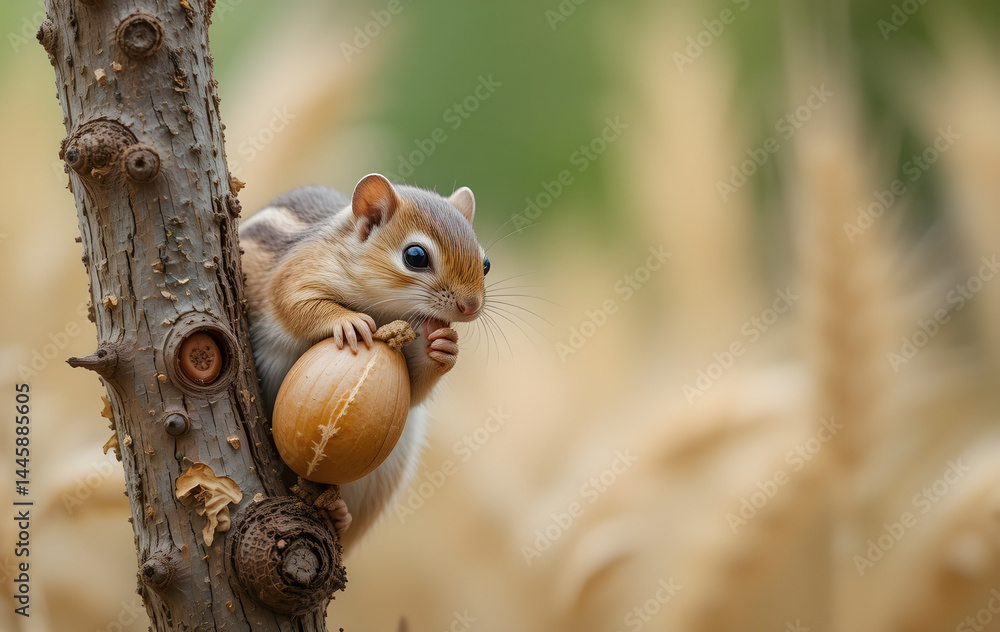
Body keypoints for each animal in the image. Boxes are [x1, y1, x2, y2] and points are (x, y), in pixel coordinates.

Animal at [239, 173, 488, 551]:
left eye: (485, 263)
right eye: (416, 256)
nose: (471, 307)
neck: (383, 306)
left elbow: (414, 393)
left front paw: (444, 348)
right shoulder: (297, 272)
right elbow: (296, 304)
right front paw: (347, 321)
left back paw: (338, 515)